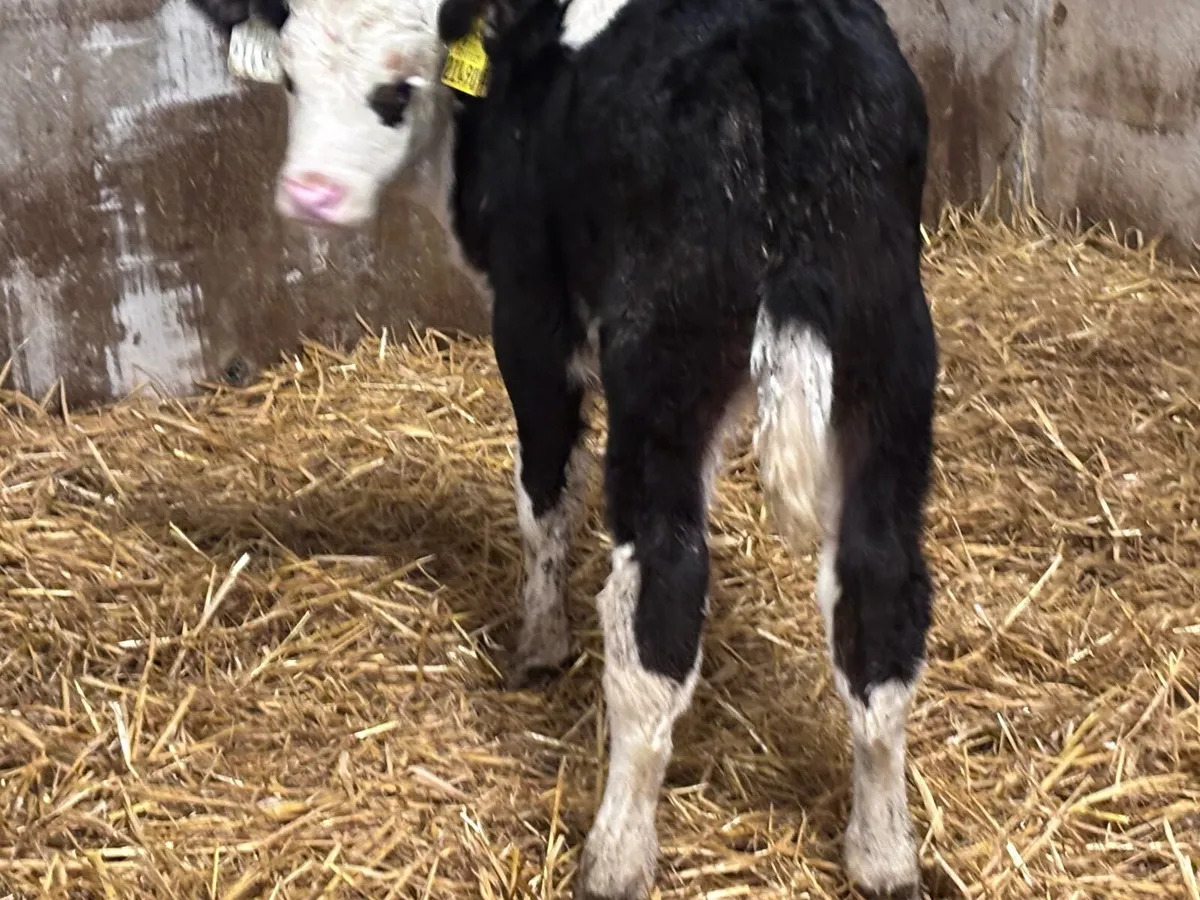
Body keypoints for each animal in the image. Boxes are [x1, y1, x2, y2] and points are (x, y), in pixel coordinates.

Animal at [189, 0, 938, 896]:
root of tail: (787, 53)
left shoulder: (530, 317)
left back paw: (616, 852)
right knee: (881, 588)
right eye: (291, 76)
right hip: (889, 354)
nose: (313, 196)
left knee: (660, 595)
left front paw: (541, 641)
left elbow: (546, 488)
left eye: (397, 89)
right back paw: (883, 852)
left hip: (663, 363)